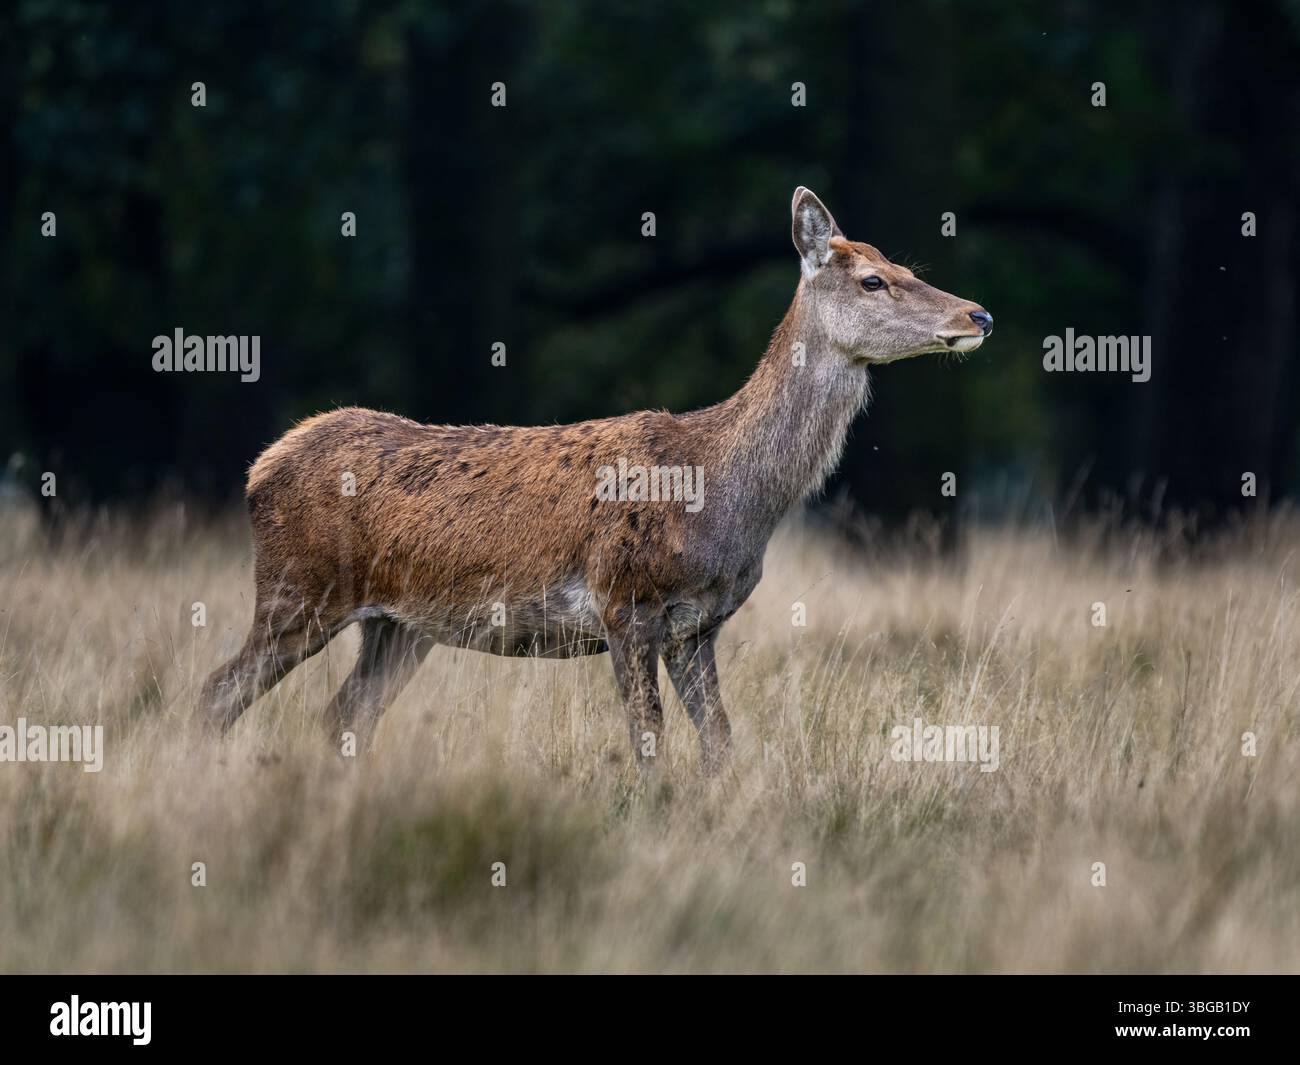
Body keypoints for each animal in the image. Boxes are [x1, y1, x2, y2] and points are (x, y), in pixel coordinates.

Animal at [198, 187, 992, 773]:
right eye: (872, 279)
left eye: (905, 266)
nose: (978, 312)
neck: (725, 495)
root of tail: (260, 467)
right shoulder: (624, 599)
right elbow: (648, 742)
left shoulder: (697, 626)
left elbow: (721, 743)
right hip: (299, 588)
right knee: (216, 692)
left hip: (398, 624)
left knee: (341, 713)